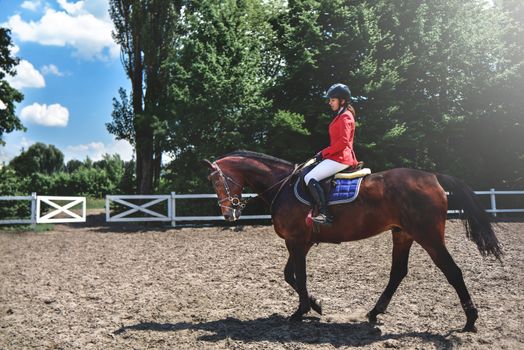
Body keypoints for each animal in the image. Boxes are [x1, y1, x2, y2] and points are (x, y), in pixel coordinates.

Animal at [203, 150, 502, 330]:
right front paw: (316, 305)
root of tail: (431, 176)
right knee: (398, 273)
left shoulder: (296, 241)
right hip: (403, 234)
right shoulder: (301, 242)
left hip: (428, 236)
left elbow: (299, 275)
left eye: (215, 180)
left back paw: (470, 320)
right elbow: (290, 275)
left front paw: (301, 311)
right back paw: (374, 312)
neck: (283, 185)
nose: (229, 213)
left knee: (452, 271)